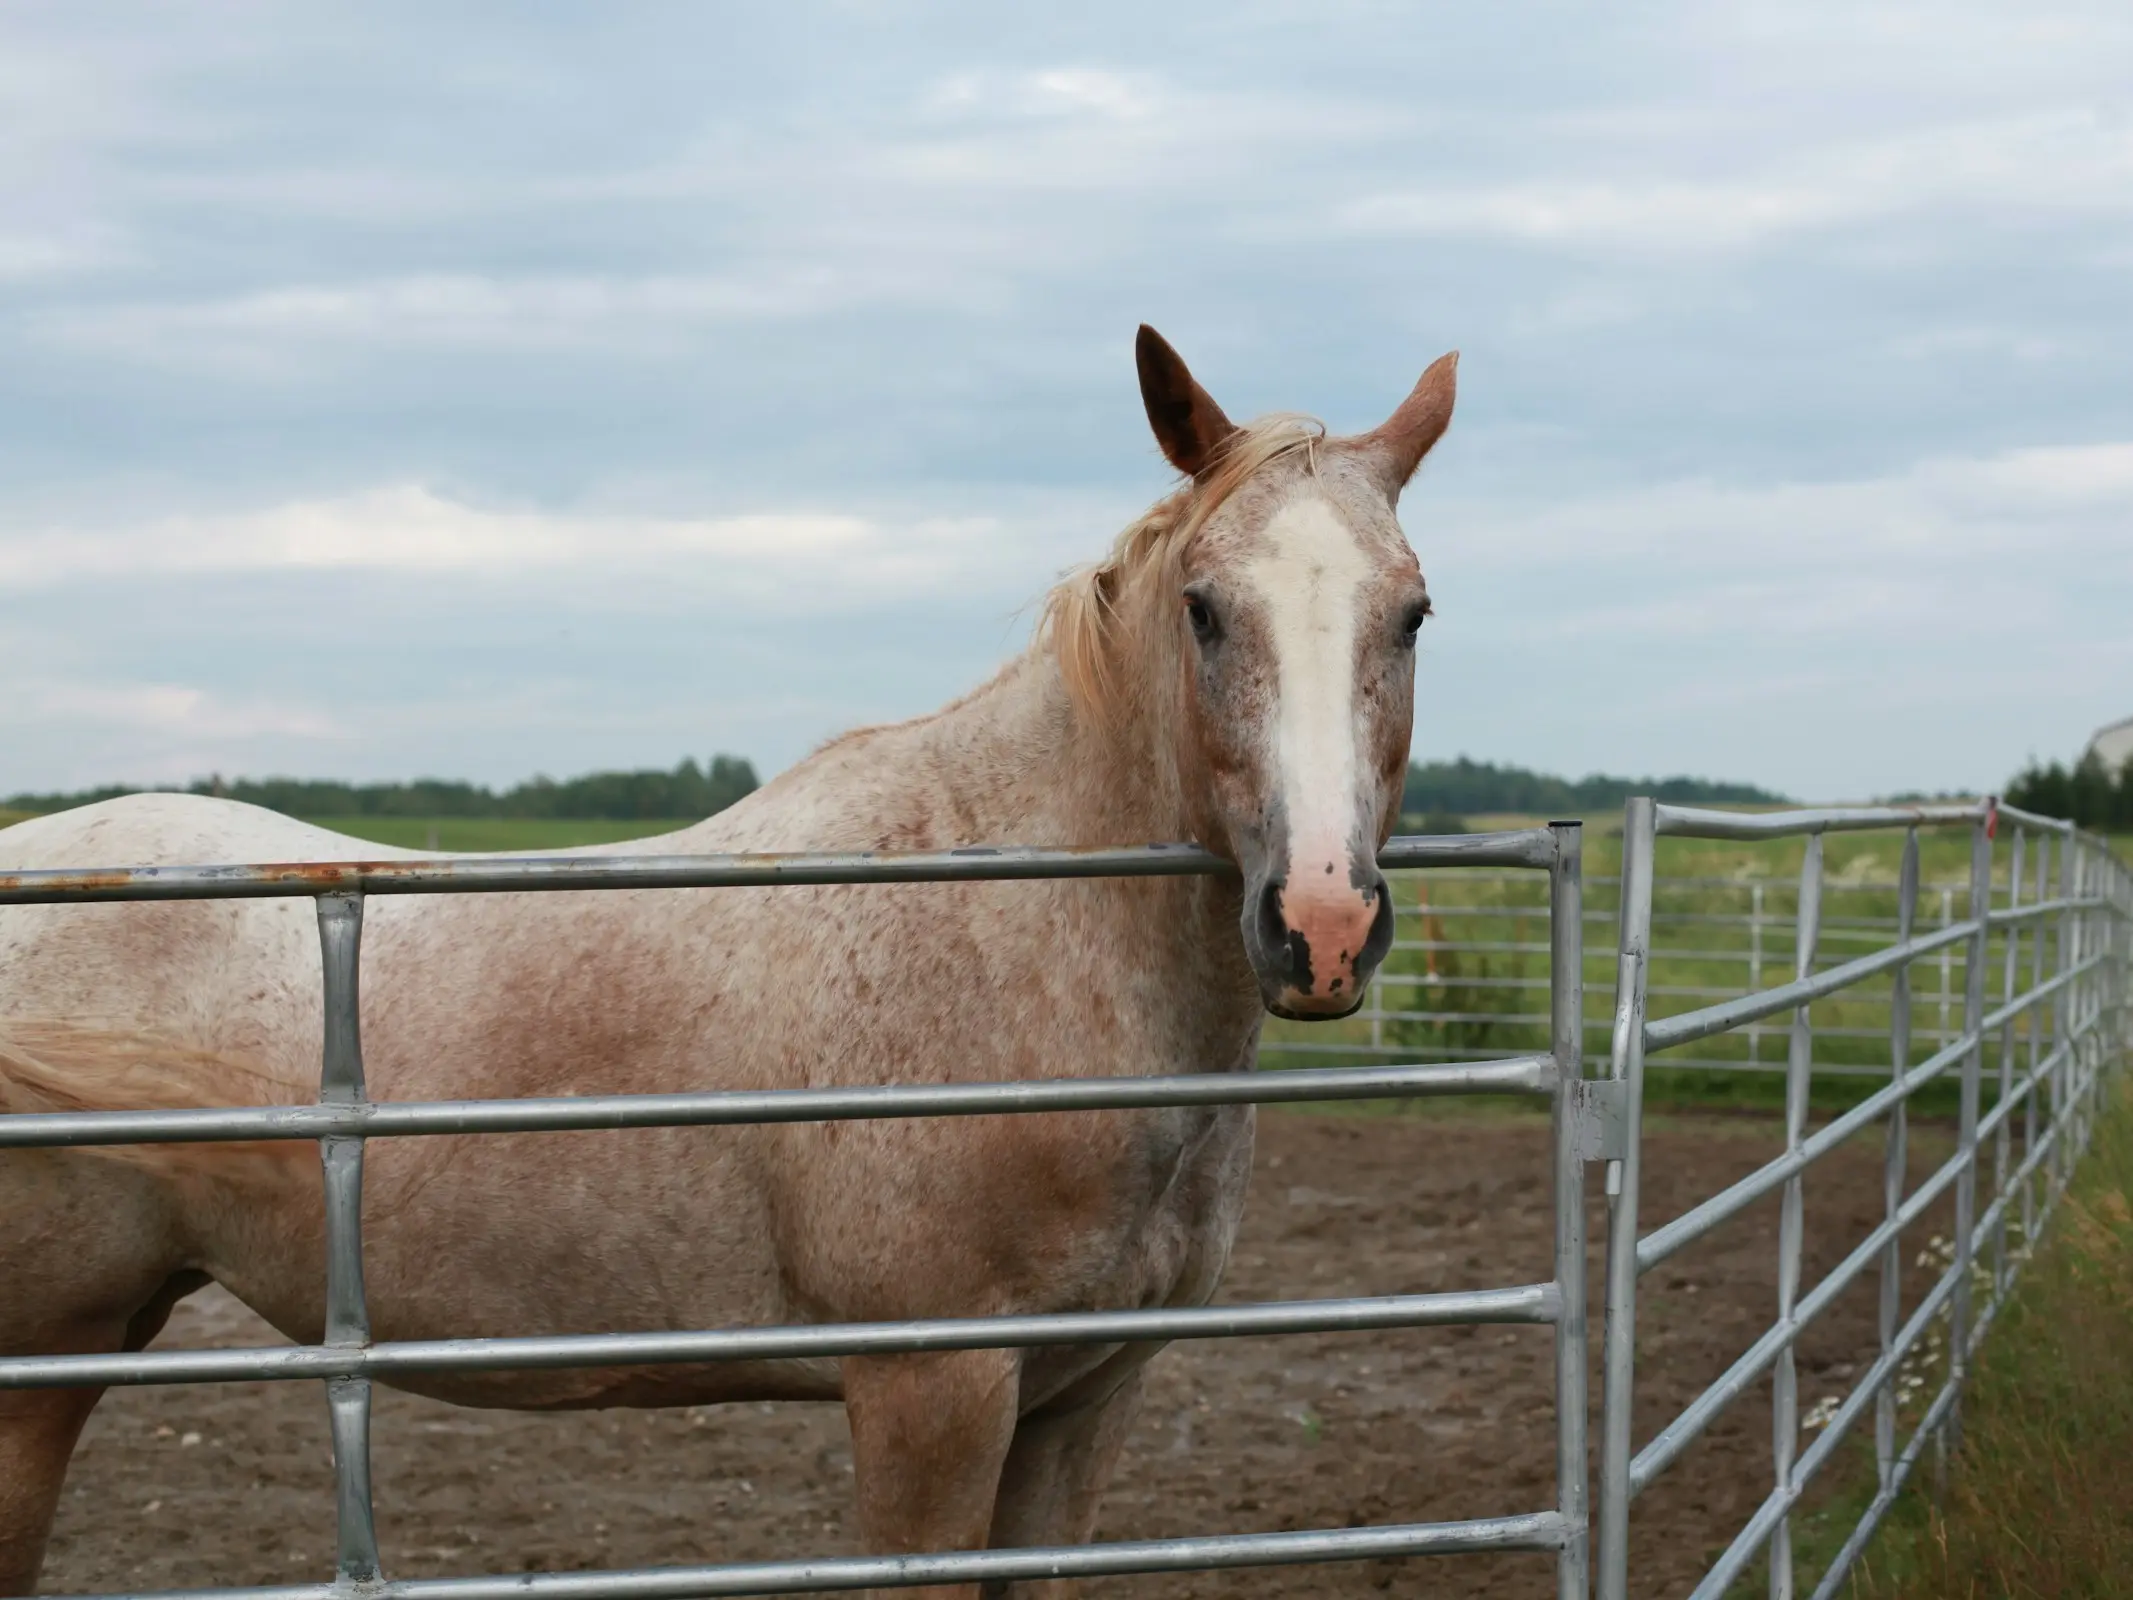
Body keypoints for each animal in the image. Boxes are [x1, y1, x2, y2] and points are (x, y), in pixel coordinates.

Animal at [0, 322, 1450, 1595]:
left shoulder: (1084, 1403)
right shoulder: (931, 1392)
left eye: (1413, 614)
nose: (1321, 925)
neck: (1017, 932)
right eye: (1205, 611)